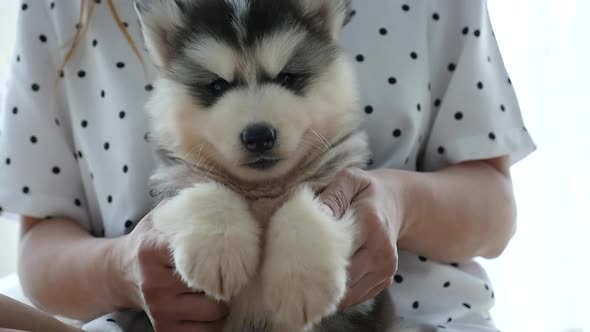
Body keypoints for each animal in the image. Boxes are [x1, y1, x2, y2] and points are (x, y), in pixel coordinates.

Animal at [136, 0, 424, 332]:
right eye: (217, 86)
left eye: (287, 77)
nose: (258, 136)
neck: (263, 189)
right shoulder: (173, 179)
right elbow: (202, 188)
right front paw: (218, 247)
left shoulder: (339, 180)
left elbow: (306, 204)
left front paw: (302, 279)